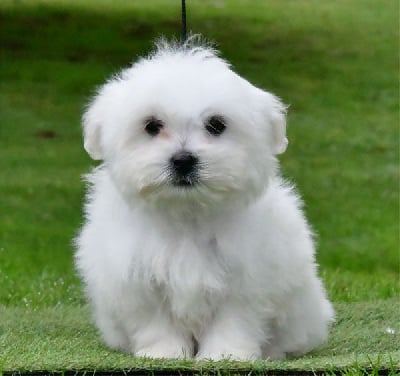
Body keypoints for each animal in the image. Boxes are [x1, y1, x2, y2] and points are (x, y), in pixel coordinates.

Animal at [75, 39, 334, 360]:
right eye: (151, 126)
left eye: (216, 124)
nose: (183, 160)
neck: (187, 212)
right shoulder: (138, 278)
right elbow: (155, 321)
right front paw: (164, 352)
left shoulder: (244, 278)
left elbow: (233, 320)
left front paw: (225, 355)